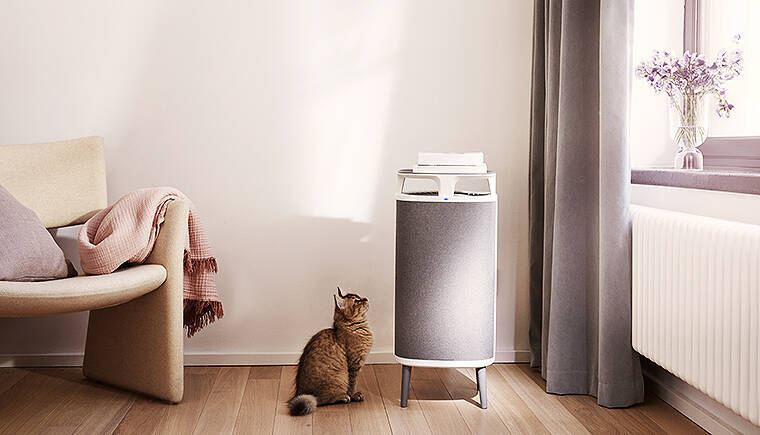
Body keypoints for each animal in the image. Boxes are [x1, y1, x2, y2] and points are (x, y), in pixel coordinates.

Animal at [288, 287, 373, 416]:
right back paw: (343, 397)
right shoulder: (354, 365)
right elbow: (352, 384)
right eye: (357, 301)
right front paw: (354, 395)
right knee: (322, 401)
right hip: (338, 380)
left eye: (359, 296)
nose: (366, 298)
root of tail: (299, 393)